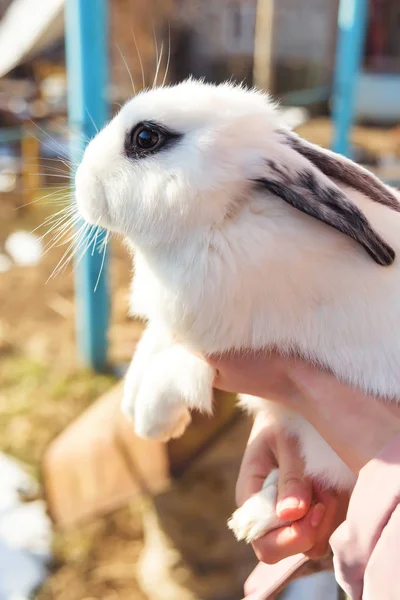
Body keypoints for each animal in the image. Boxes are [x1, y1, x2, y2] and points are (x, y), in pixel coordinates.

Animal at [74, 81, 400, 548]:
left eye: (146, 138)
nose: (81, 182)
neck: (227, 216)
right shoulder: (171, 321)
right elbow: (153, 342)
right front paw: (132, 399)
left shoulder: (223, 344)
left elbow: (176, 367)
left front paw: (152, 422)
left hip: (327, 446)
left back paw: (256, 517)